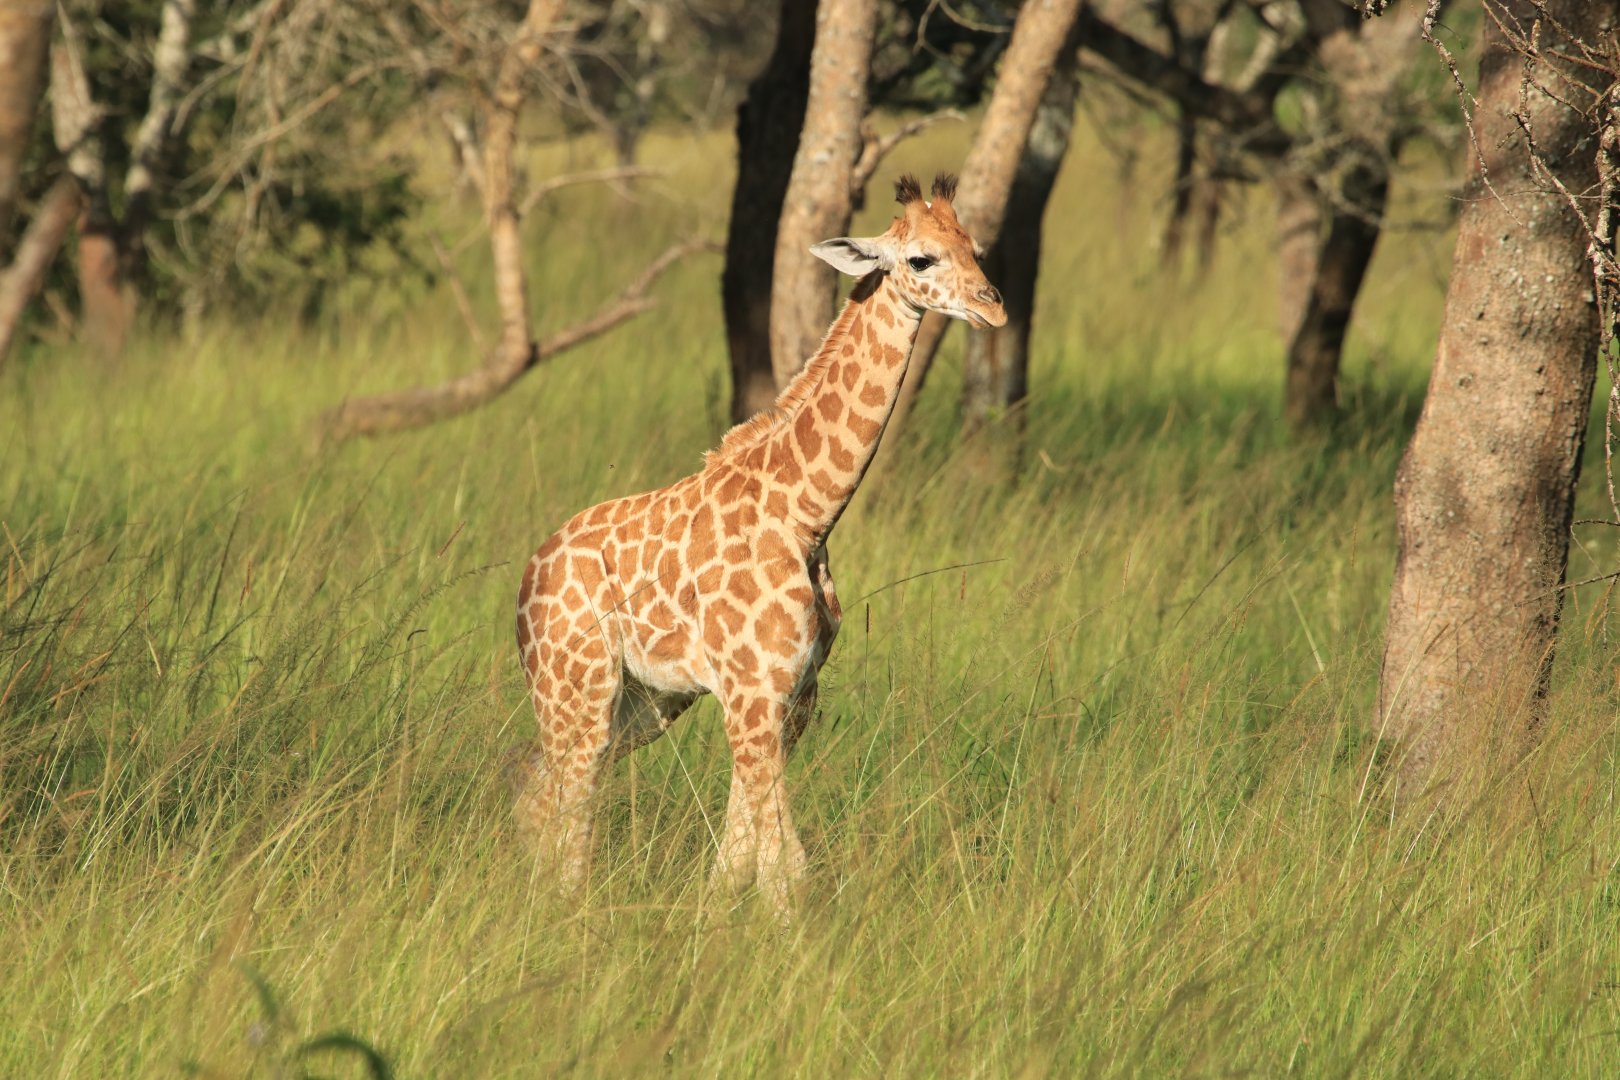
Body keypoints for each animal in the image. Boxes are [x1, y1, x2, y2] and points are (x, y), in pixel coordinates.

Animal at [513, 173, 1006, 914]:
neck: (806, 514)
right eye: (922, 259)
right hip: (578, 686)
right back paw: (565, 911)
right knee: (567, 798)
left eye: (975, 247)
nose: (993, 307)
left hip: (643, 702)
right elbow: (785, 870)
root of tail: (525, 579)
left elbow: (741, 856)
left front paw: (713, 926)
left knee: (537, 787)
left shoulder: (793, 697)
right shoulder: (752, 691)